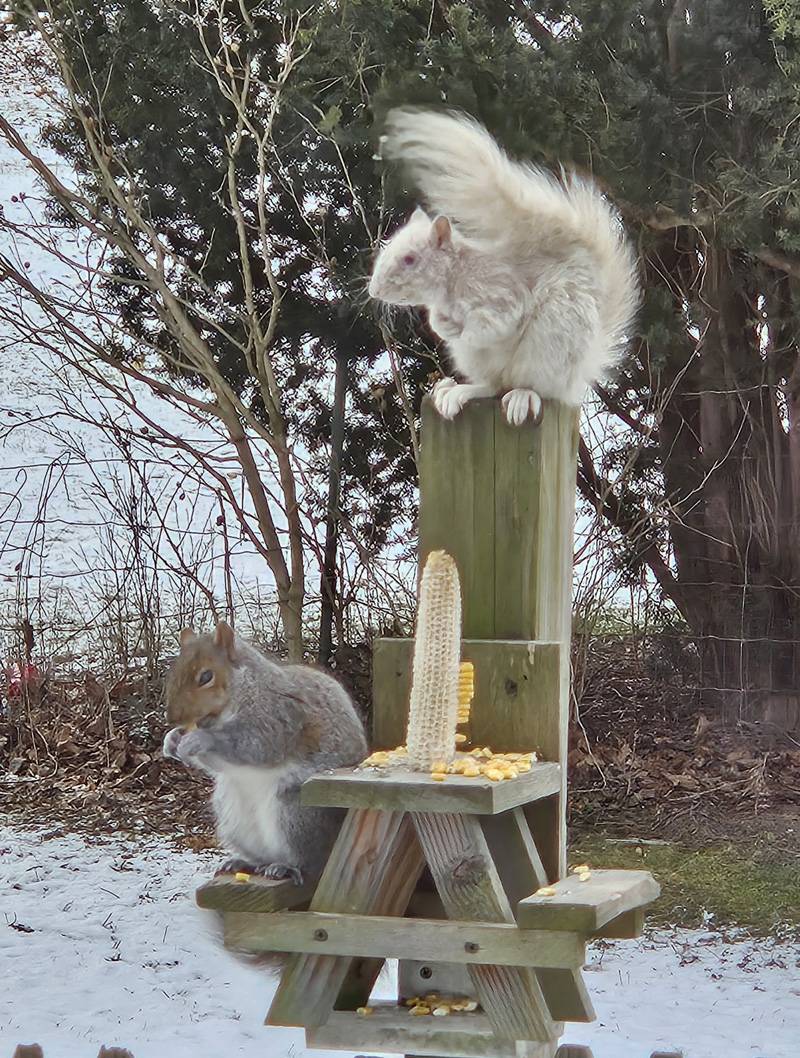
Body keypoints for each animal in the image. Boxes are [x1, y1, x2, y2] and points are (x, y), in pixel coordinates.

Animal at [162, 617, 368, 884]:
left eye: (206, 676)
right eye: (172, 674)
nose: (172, 718)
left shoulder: (278, 717)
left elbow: (255, 745)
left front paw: (201, 739)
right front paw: (171, 740)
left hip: (297, 811)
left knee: (311, 863)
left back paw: (287, 867)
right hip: (232, 815)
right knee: (263, 855)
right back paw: (246, 862)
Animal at [366, 105, 639, 423]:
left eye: (410, 259)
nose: (374, 291)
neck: (454, 280)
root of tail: (577, 376)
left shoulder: (501, 292)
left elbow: (495, 323)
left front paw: (468, 333)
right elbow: (439, 320)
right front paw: (444, 327)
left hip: (547, 349)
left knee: (533, 387)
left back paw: (522, 397)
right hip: (480, 364)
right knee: (492, 386)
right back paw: (457, 392)